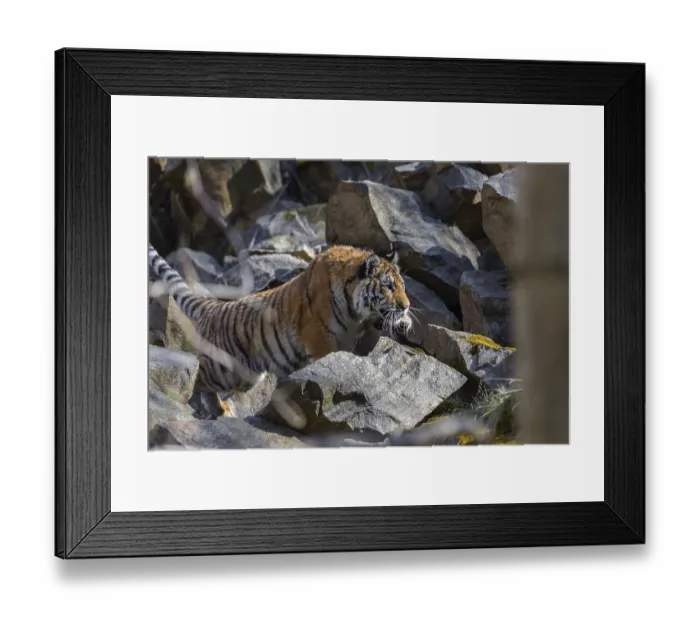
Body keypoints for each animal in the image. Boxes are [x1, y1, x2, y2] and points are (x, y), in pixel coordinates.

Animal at [148, 243, 412, 420]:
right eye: (388, 286)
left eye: (402, 286)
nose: (406, 306)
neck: (355, 312)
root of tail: (214, 305)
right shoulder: (318, 337)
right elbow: (329, 358)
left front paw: (403, 323)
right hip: (224, 368)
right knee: (197, 374)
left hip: (246, 377)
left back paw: (221, 410)